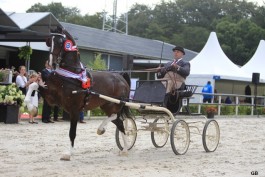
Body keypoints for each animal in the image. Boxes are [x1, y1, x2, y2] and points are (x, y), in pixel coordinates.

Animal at [41, 26, 131, 160]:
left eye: (60, 42)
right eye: (48, 42)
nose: (51, 63)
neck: (72, 75)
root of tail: (121, 77)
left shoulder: (74, 110)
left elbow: (72, 133)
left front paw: (68, 154)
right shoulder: (53, 99)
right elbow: (40, 89)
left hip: (116, 104)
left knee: (116, 117)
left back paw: (105, 132)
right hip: (106, 106)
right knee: (119, 123)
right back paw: (124, 148)